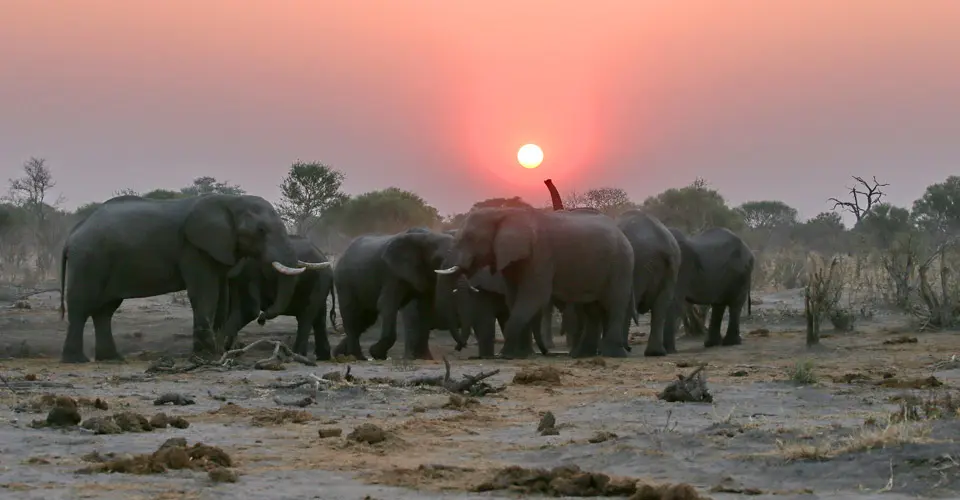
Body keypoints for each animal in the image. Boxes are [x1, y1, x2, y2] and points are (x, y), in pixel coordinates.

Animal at [58, 194, 329, 363]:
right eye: (261, 231)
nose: (264, 317)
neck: (229, 202)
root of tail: (73, 233)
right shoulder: (194, 247)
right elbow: (205, 291)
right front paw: (208, 354)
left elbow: (221, 294)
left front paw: (215, 350)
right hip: (89, 259)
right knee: (81, 306)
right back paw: (76, 360)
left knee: (105, 310)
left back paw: (112, 359)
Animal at [332, 227, 466, 360]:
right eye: (439, 257)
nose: (459, 347)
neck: (427, 237)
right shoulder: (391, 274)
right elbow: (387, 304)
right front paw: (376, 354)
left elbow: (425, 308)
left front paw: (423, 358)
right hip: (344, 282)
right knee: (351, 315)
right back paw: (357, 356)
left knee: (365, 320)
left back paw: (340, 354)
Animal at [435, 207, 635, 359]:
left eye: (469, 237)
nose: (459, 347)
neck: (503, 213)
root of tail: (622, 234)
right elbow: (514, 298)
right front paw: (518, 355)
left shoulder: (541, 256)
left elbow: (533, 297)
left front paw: (505, 355)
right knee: (592, 309)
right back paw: (582, 355)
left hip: (621, 263)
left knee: (615, 303)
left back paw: (614, 354)